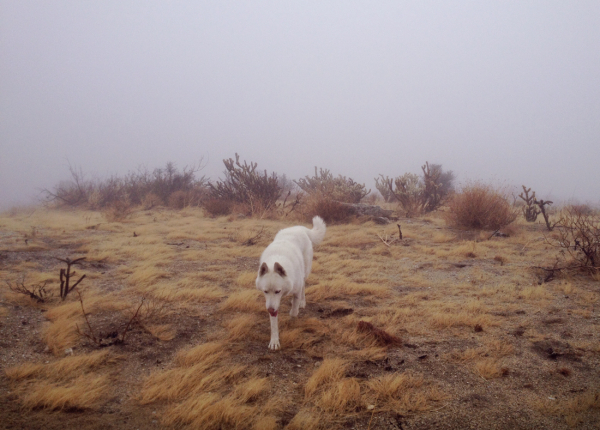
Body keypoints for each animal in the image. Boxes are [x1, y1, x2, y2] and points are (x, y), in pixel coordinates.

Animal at [254, 217, 326, 352]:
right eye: (265, 291)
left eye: (277, 291)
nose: (270, 309)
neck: (277, 258)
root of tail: (299, 228)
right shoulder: (272, 303)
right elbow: (274, 324)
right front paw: (274, 341)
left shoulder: (294, 291)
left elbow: (293, 312)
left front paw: (293, 319)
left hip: (305, 273)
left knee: (303, 286)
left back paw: (302, 302)